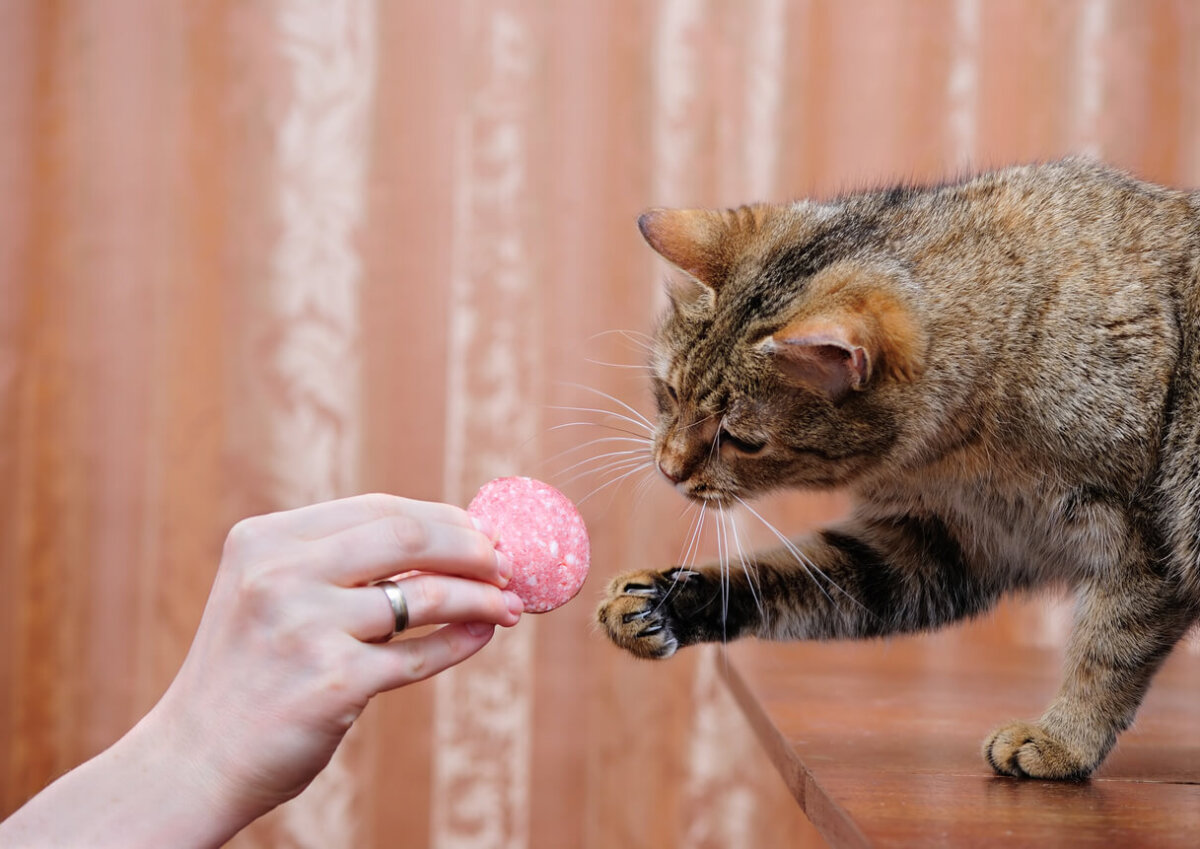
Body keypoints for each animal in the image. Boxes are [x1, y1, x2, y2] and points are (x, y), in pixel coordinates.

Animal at [595, 155, 1200, 777]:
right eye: (671, 391)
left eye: (742, 440)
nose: (667, 468)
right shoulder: (937, 537)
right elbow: (788, 578)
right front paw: (667, 601)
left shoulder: (1142, 547)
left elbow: (1106, 652)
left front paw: (1063, 741)